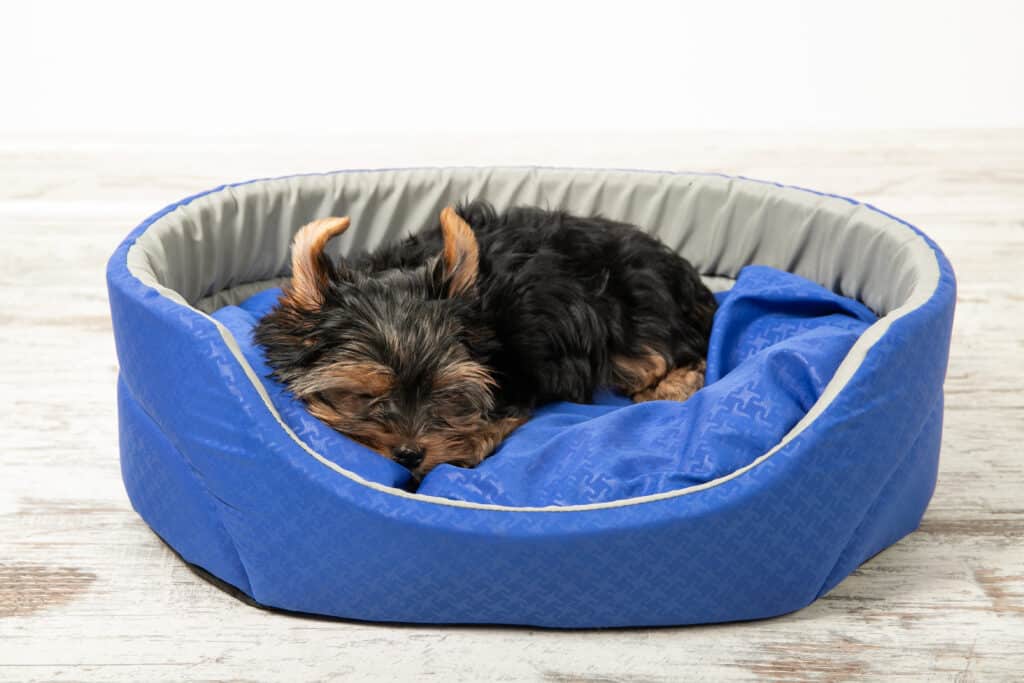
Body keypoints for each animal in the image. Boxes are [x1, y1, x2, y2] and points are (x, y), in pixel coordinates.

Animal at [252, 201, 716, 481]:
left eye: (445, 393)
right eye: (364, 394)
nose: (410, 454)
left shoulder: (516, 382)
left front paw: (468, 443)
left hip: (634, 323)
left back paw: (669, 388)